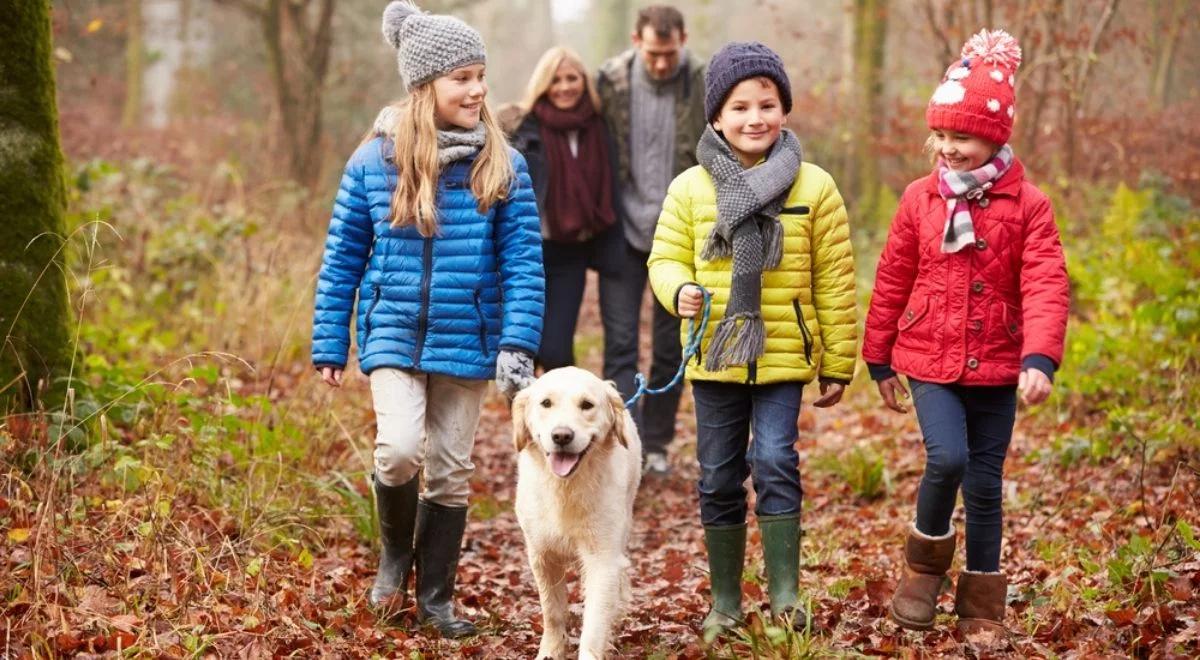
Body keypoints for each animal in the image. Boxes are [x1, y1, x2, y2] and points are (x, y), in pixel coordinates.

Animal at [511, 367, 643, 660]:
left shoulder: (603, 558)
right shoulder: (542, 555)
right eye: (546, 403)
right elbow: (552, 612)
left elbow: (593, 624)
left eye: (587, 405)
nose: (562, 436)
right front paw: (550, 652)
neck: (566, 487)